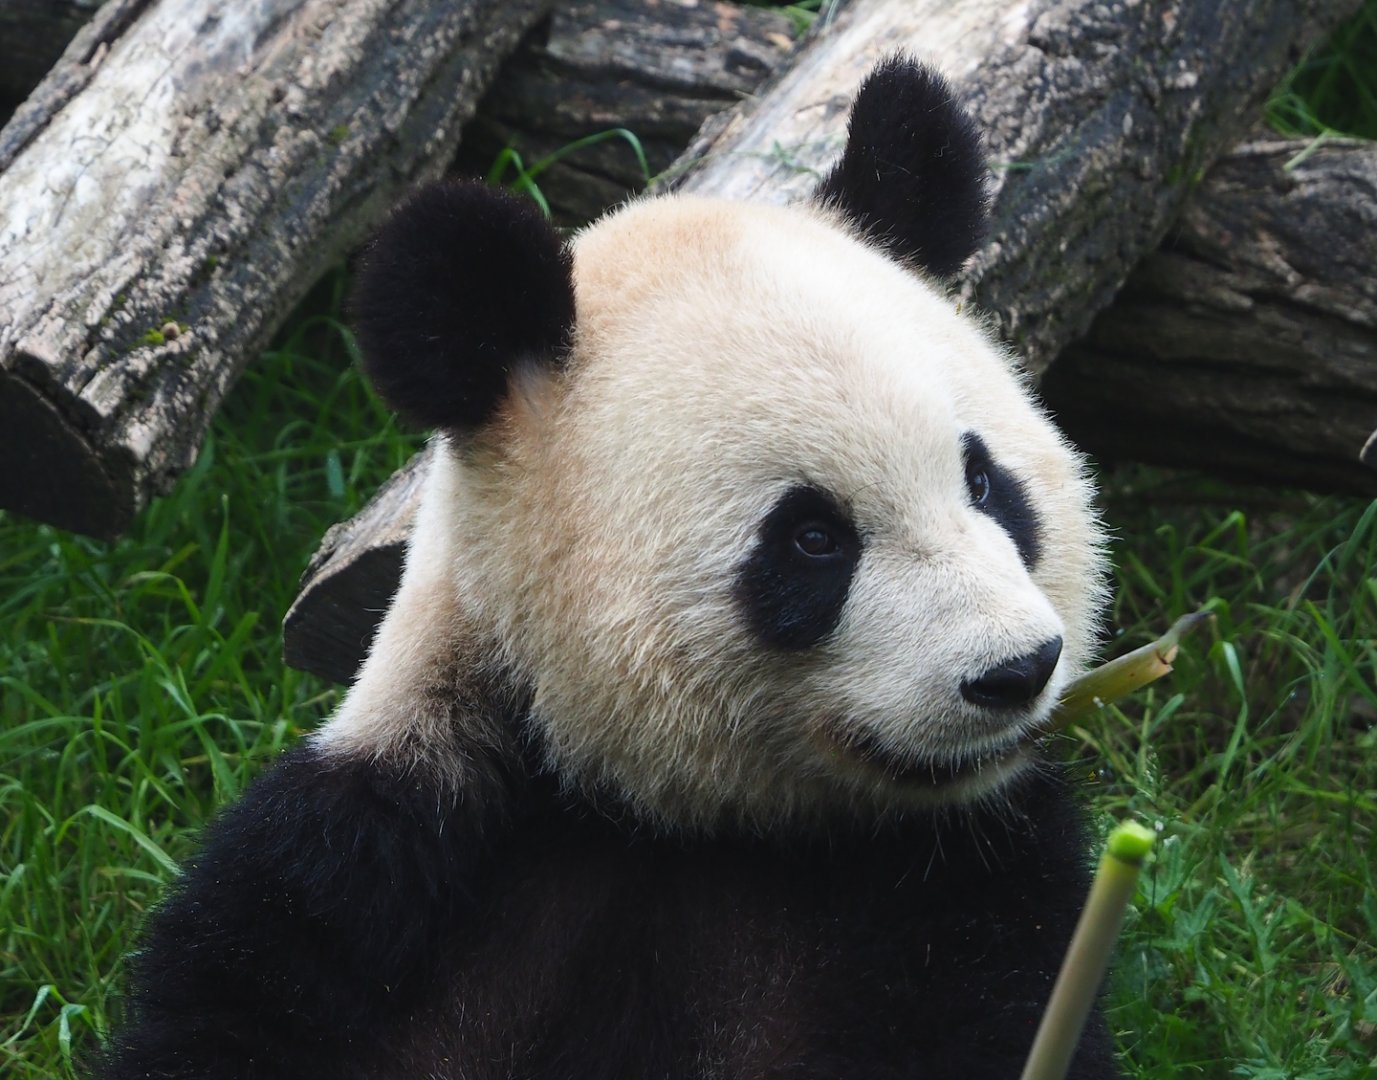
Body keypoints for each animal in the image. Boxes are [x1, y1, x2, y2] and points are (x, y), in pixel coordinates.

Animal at [101, 58, 1118, 1080]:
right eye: (812, 539)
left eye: (983, 481)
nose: (1015, 670)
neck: (673, 823)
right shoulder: (368, 868)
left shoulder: (973, 888)